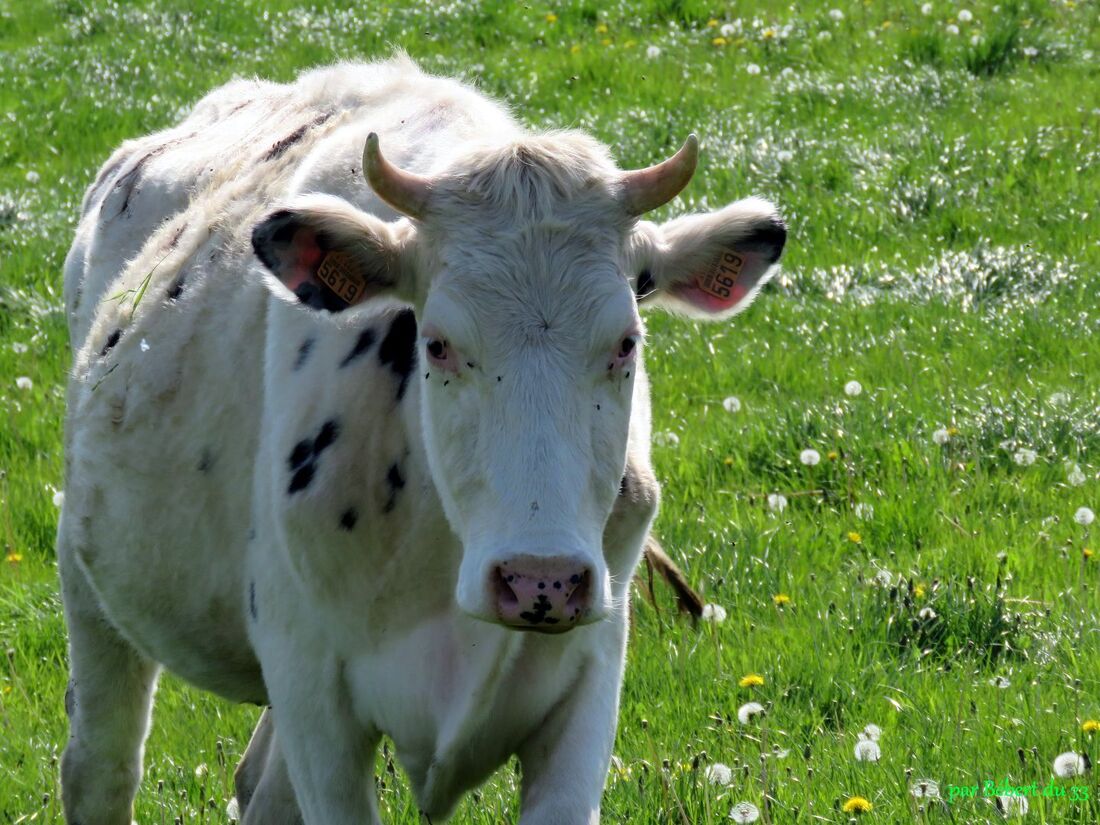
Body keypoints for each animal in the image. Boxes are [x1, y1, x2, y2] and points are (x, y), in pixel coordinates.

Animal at [60, 55, 787, 822]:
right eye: (435, 342)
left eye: (627, 341)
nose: (541, 580)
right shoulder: (311, 693)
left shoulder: (590, 678)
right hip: (88, 582)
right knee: (99, 769)